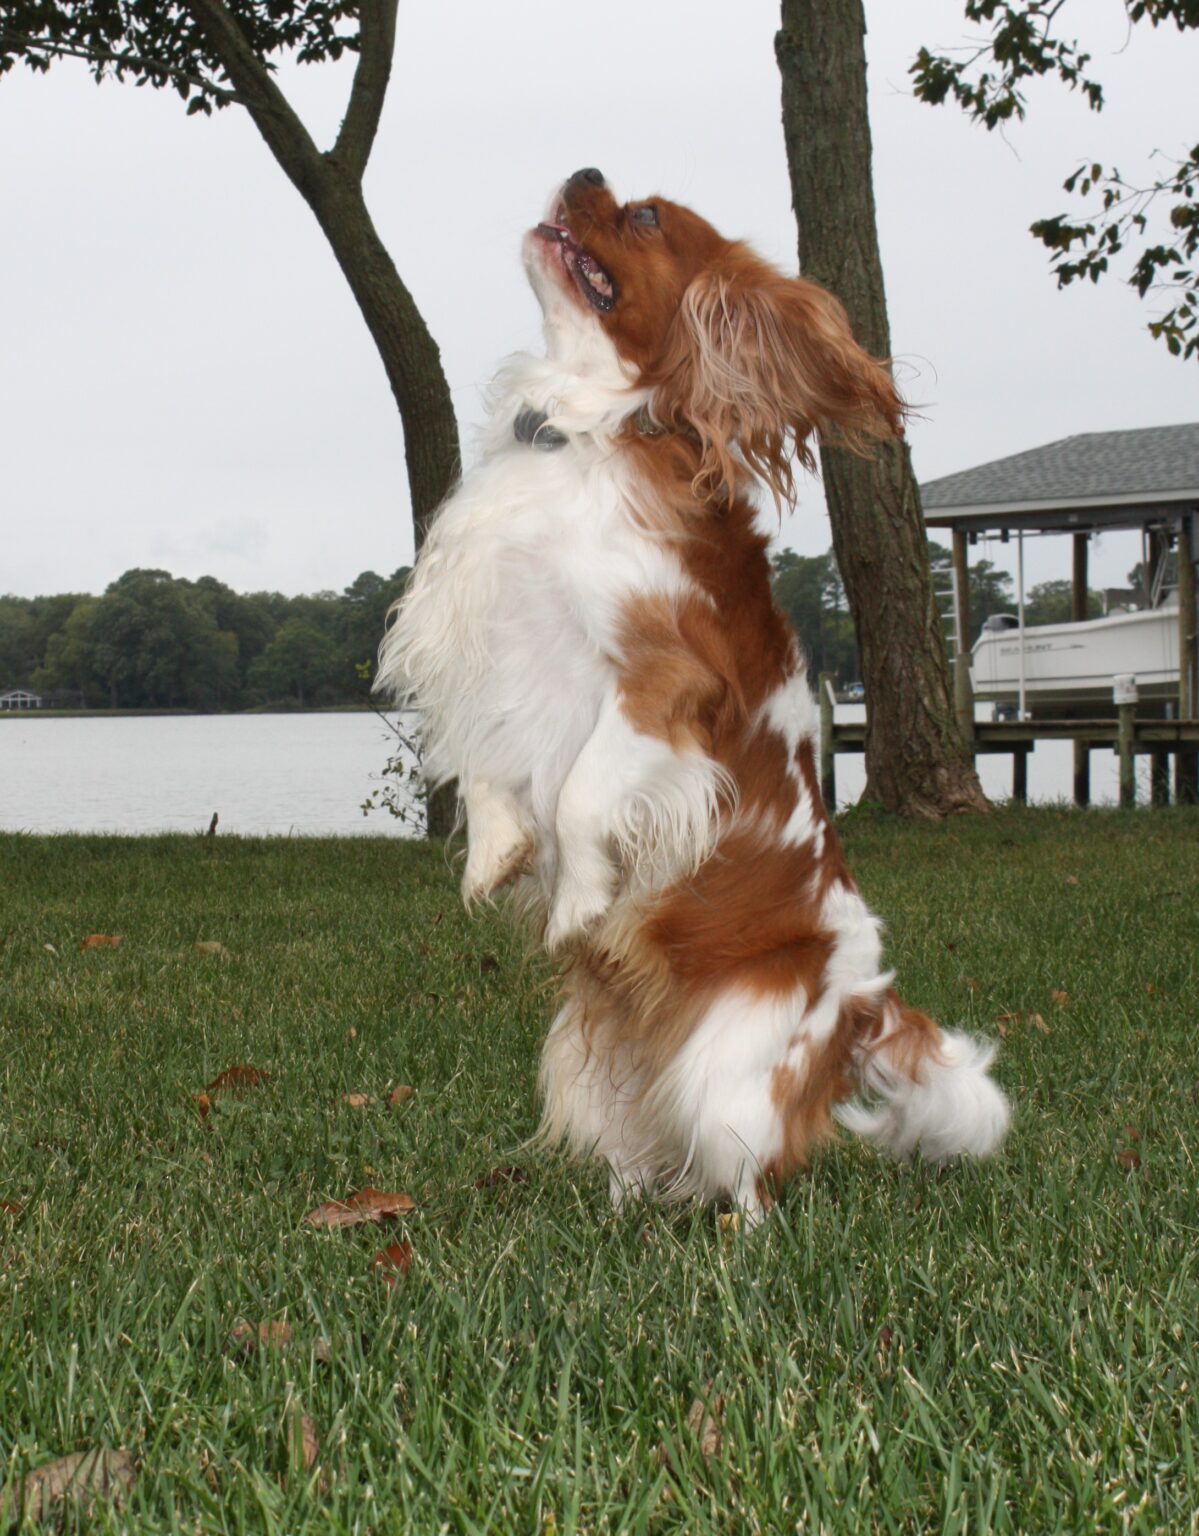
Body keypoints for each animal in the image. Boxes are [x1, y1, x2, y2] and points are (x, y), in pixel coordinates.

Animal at [377, 168, 1009, 1224]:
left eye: (642, 219)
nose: (584, 173)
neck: (576, 435)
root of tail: (863, 1003)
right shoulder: (498, 646)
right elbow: (488, 772)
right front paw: (494, 860)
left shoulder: (658, 689)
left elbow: (582, 796)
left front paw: (577, 904)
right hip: (589, 1059)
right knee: (642, 1150)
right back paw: (620, 1211)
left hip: (735, 1072)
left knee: (751, 1173)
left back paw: (734, 1240)